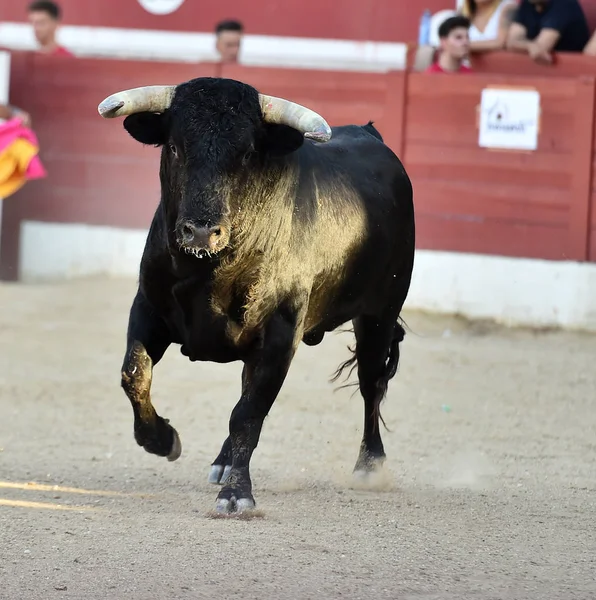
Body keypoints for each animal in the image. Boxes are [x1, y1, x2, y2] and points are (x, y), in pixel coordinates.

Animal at [98, 77, 414, 512]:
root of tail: (370, 134)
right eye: (175, 146)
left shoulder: (281, 333)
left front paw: (237, 493)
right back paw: (222, 461)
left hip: (380, 313)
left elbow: (249, 412)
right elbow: (134, 375)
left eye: (247, 153)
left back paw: (370, 465)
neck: (208, 272)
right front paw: (161, 440)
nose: (200, 232)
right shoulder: (148, 309)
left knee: (371, 383)